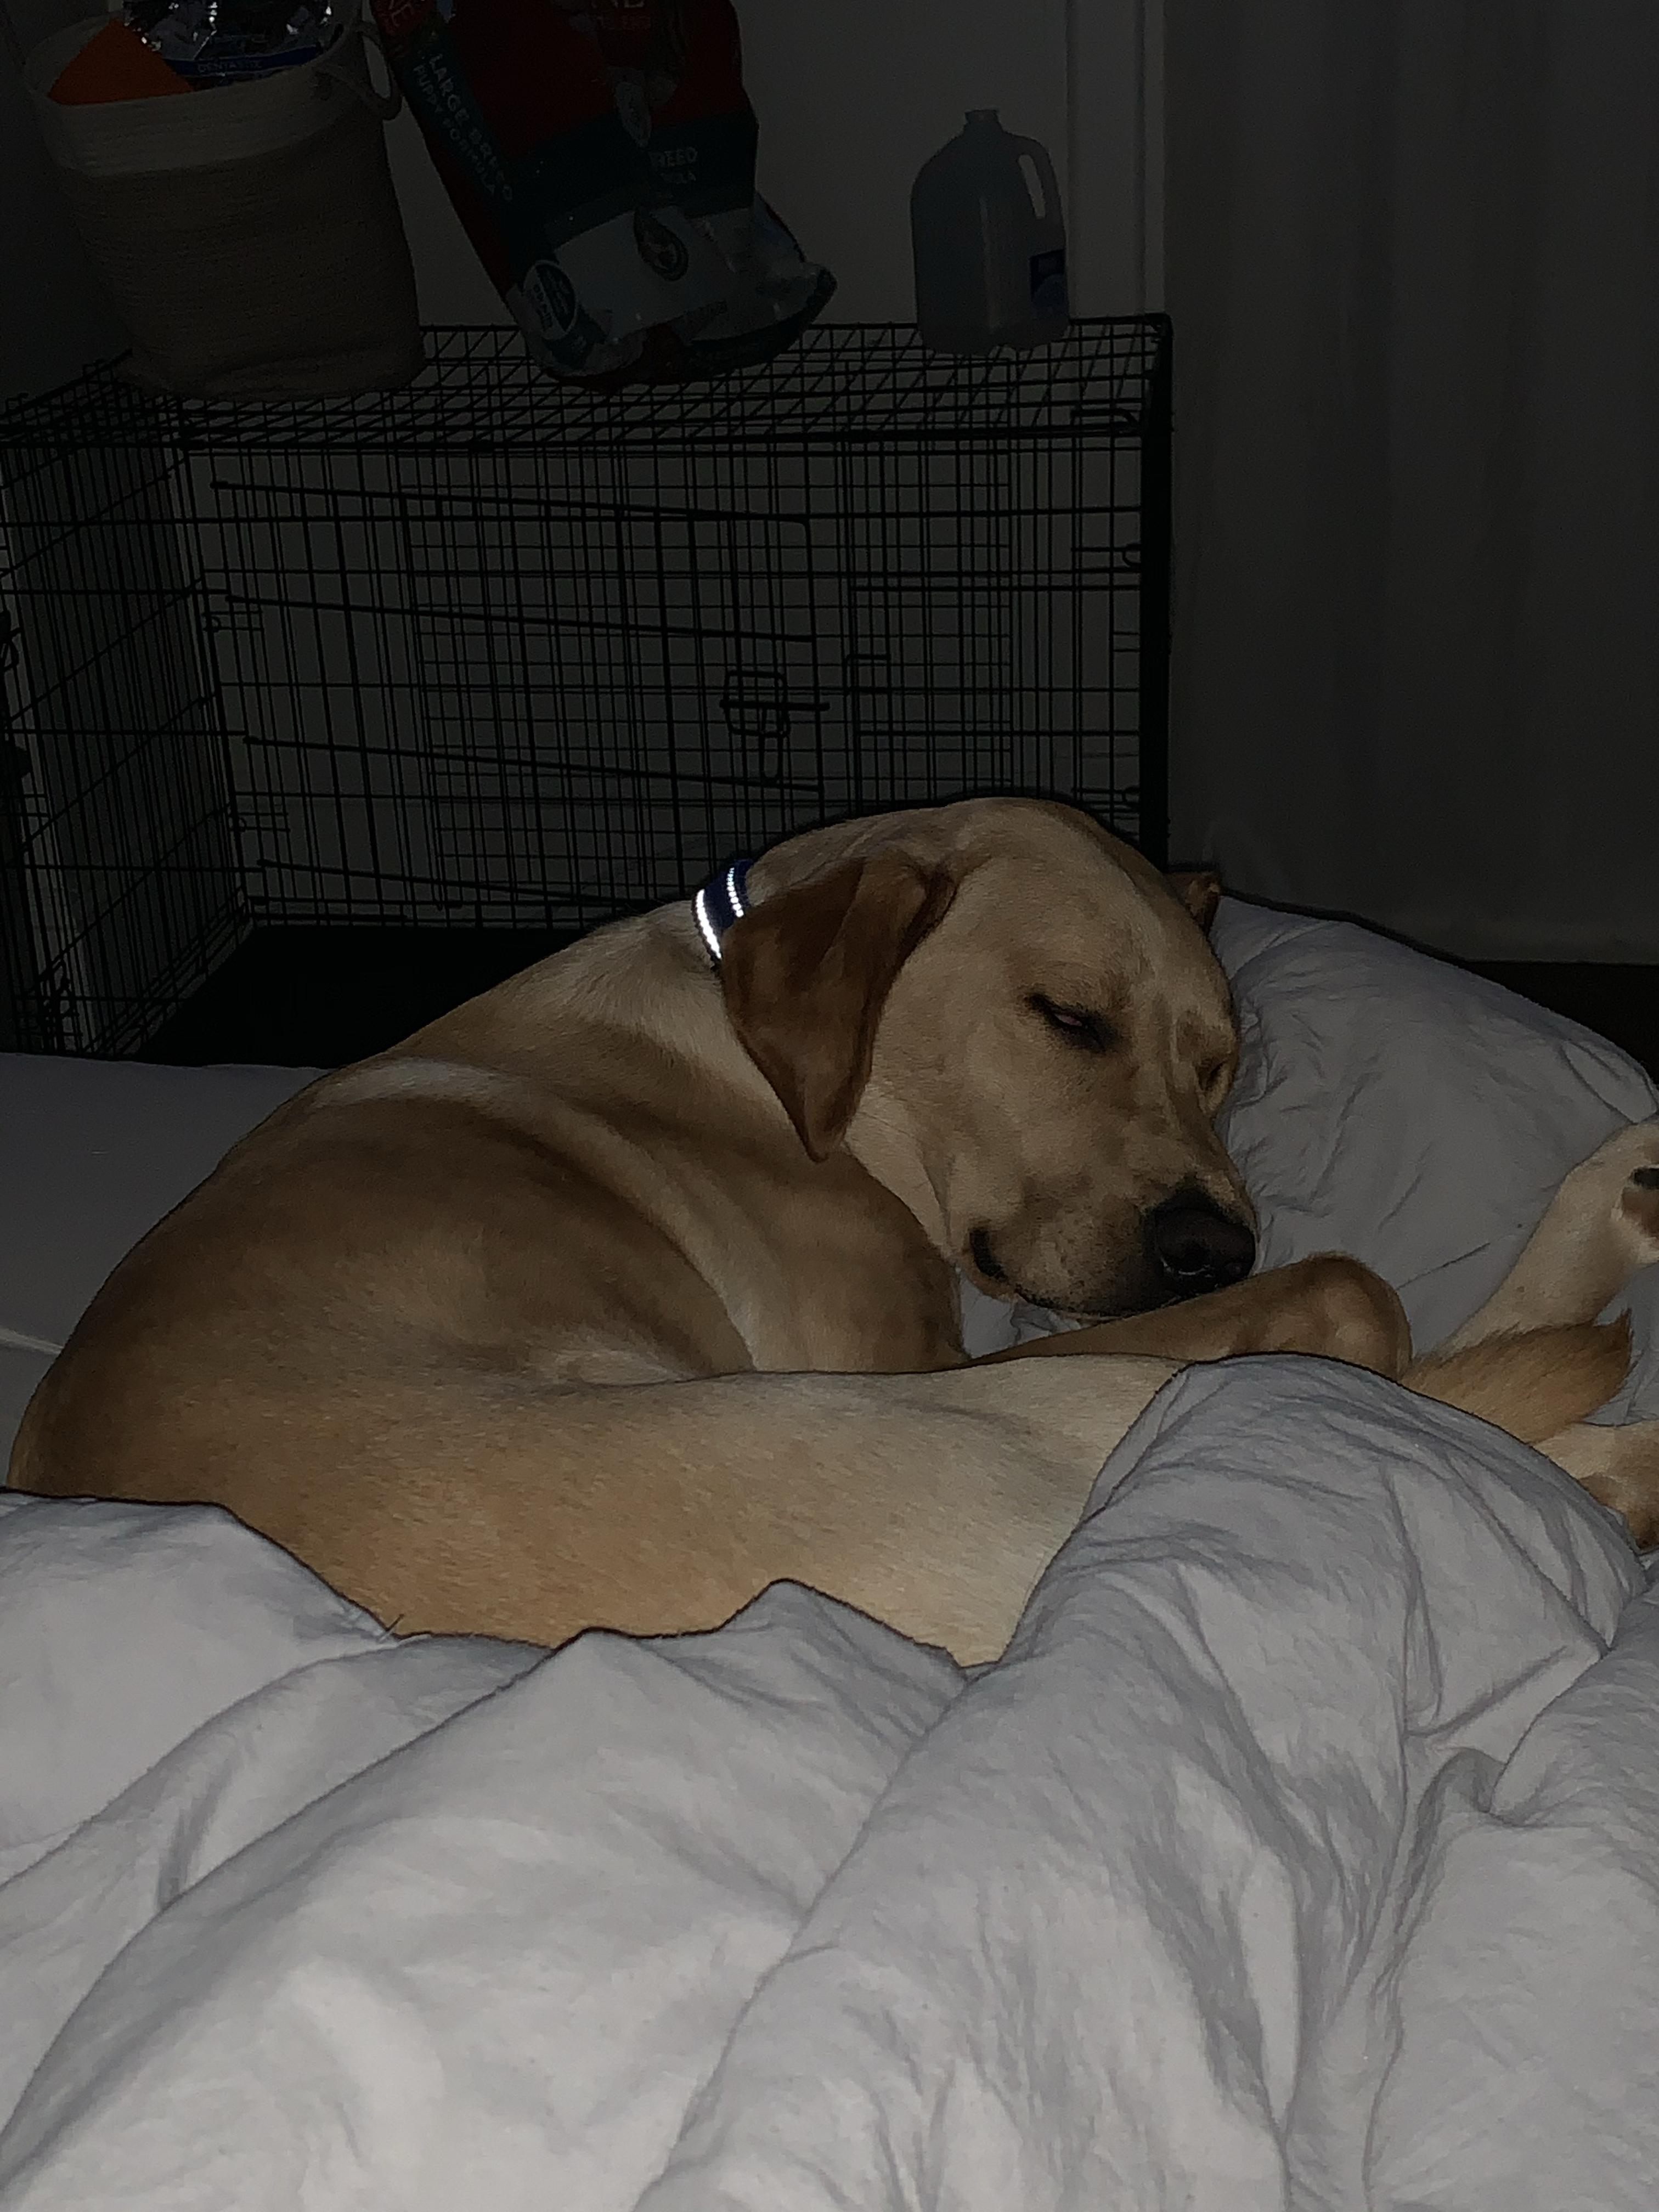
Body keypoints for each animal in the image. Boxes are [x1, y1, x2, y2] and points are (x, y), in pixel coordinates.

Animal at [13, 799, 1659, 1661]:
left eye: (1221, 1066)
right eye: (1068, 1019)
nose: (1215, 1249)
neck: (763, 1057)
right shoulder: (912, 1348)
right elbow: (1366, 1294)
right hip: (1052, 1410)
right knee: (1407, 1361)